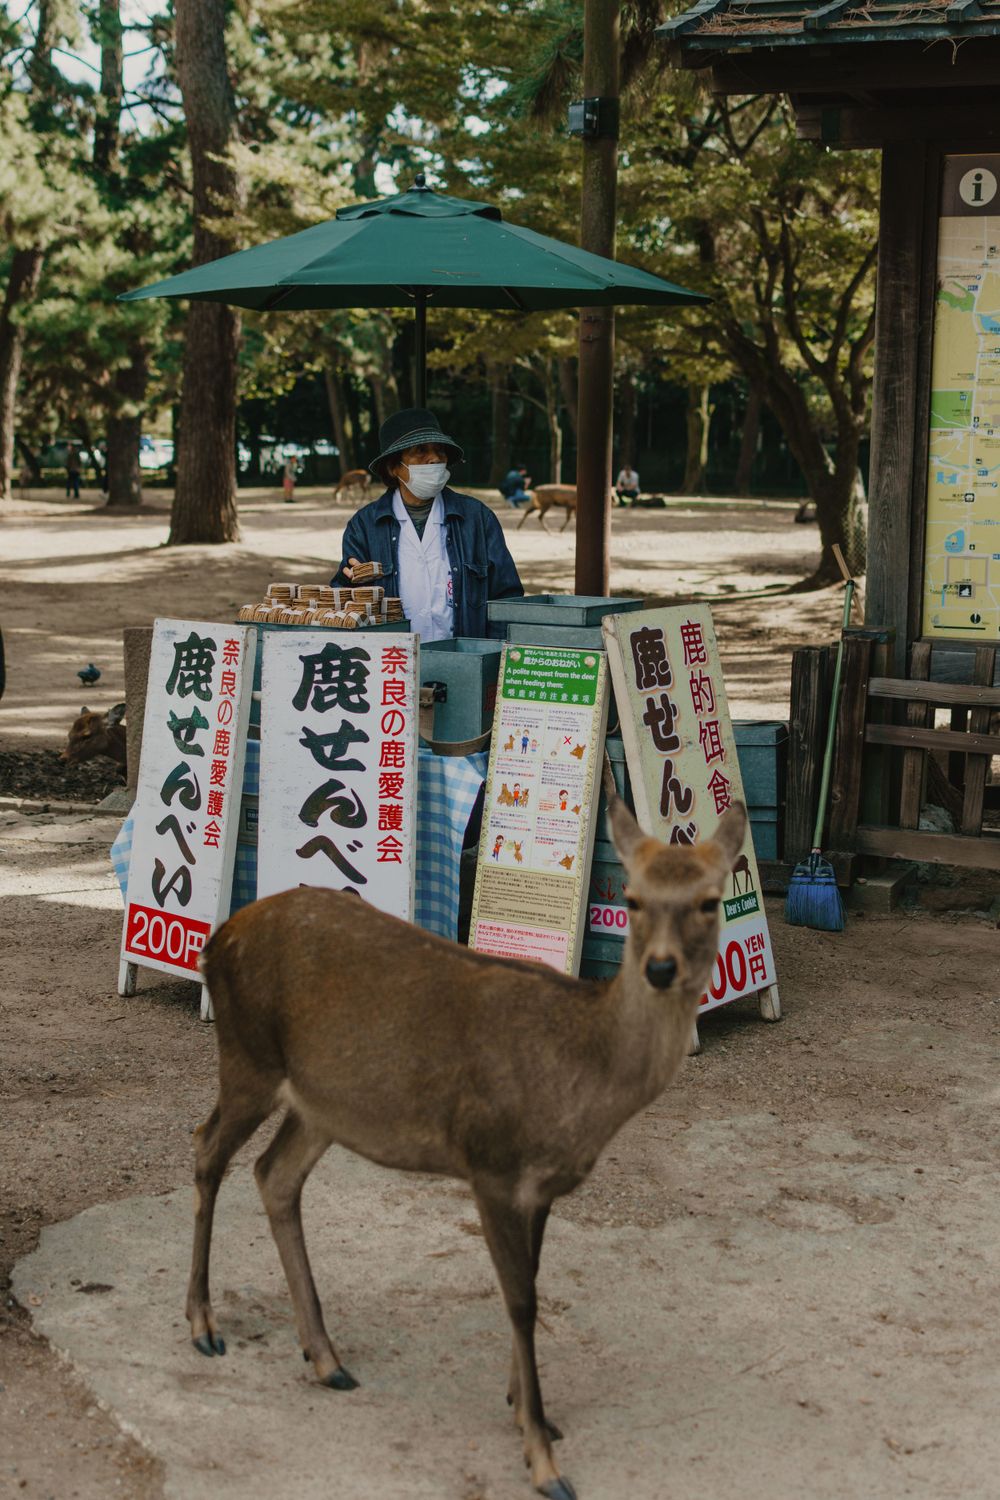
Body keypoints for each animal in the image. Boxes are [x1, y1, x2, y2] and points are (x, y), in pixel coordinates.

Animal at [186, 776, 747, 1500]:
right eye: (631, 898)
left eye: (709, 900)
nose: (659, 969)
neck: (583, 1087)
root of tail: (217, 937)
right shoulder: (492, 1163)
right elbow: (520, 1300)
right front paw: (542, 1459)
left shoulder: (541, 1188)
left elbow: (530, 1286)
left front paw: (527, 1411)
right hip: (247, 1055)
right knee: (206, 1149)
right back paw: (204, 1325)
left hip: (323, 1104)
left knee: (273, 1174)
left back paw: (325, 1357)